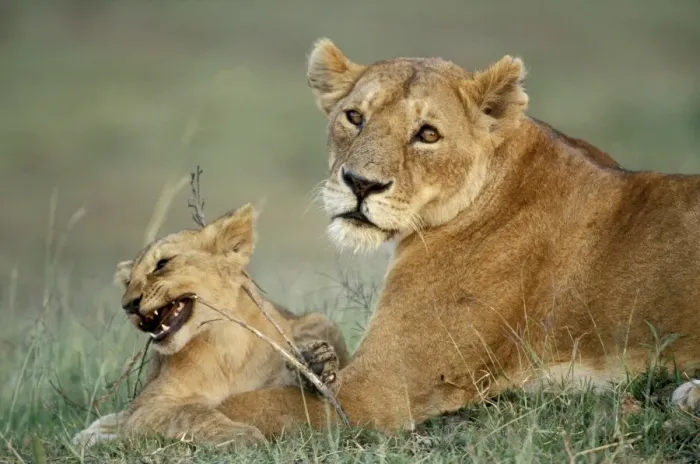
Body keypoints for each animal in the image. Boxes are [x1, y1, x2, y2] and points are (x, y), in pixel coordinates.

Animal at [72, 203, 349, 448]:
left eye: (162, 264)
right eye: (128, 281)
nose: (127, 305)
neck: (224, 342)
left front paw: (317, 365)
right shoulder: (147, 405)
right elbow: (191, 412)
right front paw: (242, 436)